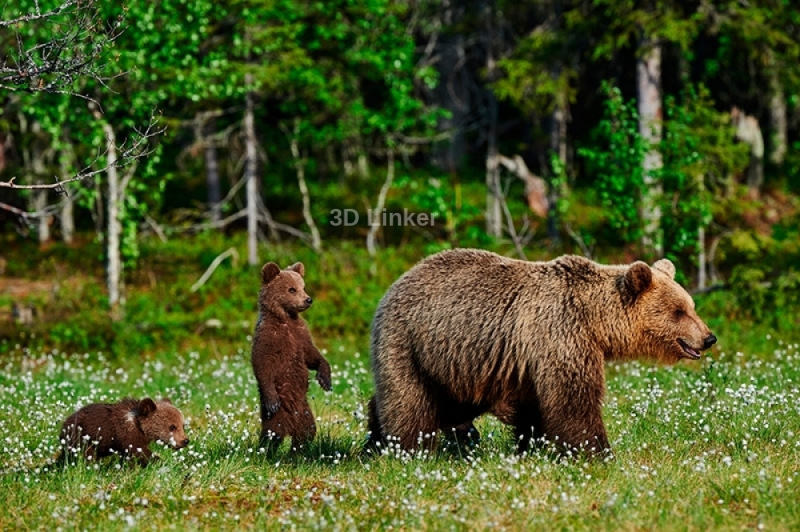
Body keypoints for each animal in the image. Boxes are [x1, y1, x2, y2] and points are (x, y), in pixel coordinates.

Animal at [57, 397, 188, 465]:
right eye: (172, 427)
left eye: (183, 425)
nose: (185, 441)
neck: (138, 426)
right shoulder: (126, 435)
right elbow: (138, 452)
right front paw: (159, 461)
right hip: (81, 438)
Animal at [251, 261, 332, 449]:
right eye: (291, 289)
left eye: (303, 287)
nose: (308, 299)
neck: (286, 318)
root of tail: (291, 425)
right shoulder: (269, 337)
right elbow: (262, 363)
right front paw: (272, 400)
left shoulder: (300, 335)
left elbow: (312, 355)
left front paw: (325, 379)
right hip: (278, 414)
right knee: (272, 434)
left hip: (304, 411)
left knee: (307, 432)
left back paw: (297, 450)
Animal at [366, 249, 716, 456]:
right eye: (678, 311)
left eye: (691, 306)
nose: (708, 337)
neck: (594, 320)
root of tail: (394, 284)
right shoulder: (561, 333)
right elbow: (574, 399)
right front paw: (598, 453)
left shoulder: (527, 359)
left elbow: (534, 407)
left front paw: (532, 446)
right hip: (410, 343)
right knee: (410, 402)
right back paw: (406, 449)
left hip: (454, 364)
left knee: (446, 405)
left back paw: (375, 438)